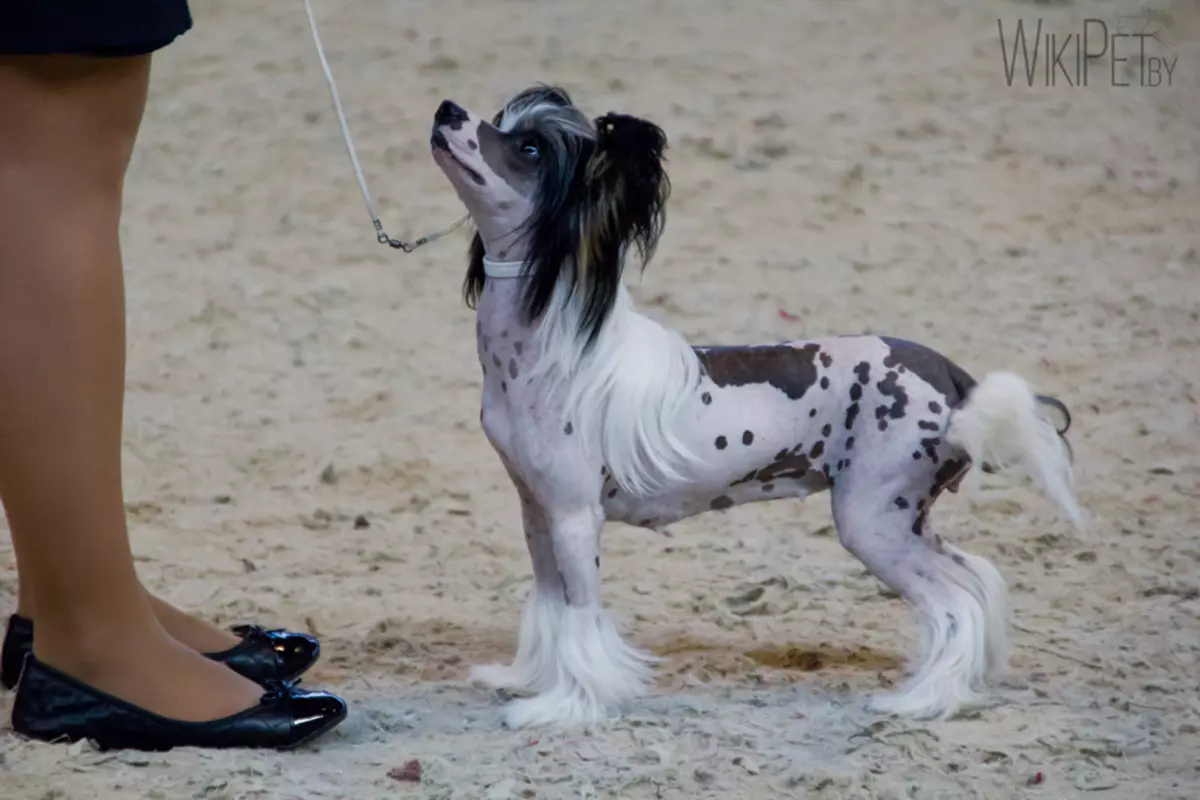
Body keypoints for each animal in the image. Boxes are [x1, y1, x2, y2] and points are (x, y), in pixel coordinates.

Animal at [427, 84, 1084, 729]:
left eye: (529, 148)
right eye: (504, 121)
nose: (448, 110)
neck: (547, 343)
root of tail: (957, 382)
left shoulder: (574, 516)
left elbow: (582, 616)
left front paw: (567, 707)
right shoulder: (536, 510)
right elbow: (551, 605)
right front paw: (526, 681)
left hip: (874, 520)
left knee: (952, 603)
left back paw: (922, 701)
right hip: (908, 520)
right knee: (974, 579)